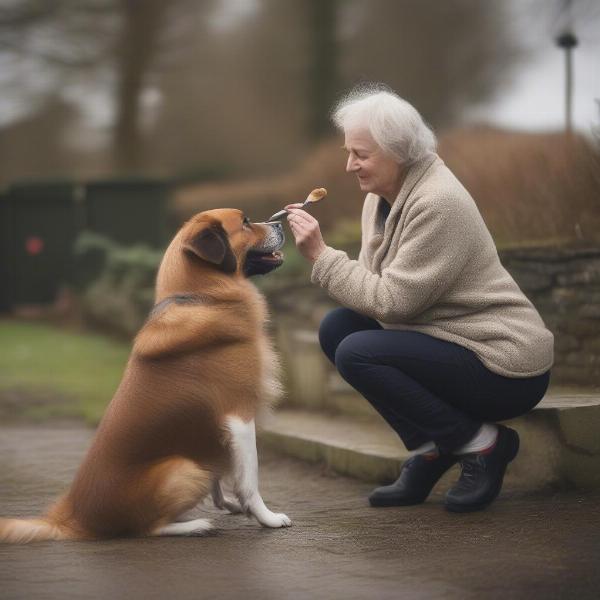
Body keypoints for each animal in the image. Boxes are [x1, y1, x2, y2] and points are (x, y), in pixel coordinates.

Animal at [0, 209, 290, 540]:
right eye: (244, 222)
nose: (280, 223)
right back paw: (194, 525)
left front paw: (230, 503)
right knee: (148, 528)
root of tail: (73, 518)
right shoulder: (239, 417)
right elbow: (250, 479)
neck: (203, 297)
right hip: (184, 469)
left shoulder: (215, 430)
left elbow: (223, 474)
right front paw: (267, 517)